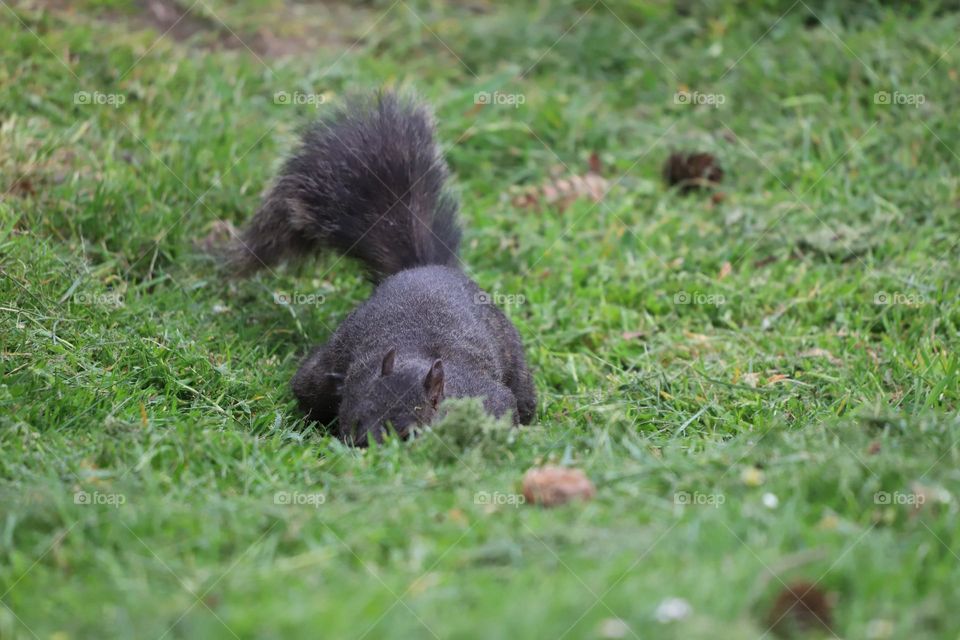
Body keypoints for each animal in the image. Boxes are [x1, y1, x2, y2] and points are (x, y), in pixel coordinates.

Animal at [225, 91, 536, 445]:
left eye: (409, 432)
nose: (365, 447)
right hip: (327, 364)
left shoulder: (489, 399)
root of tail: (425, 267)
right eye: (354, 418)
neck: (415, 358)